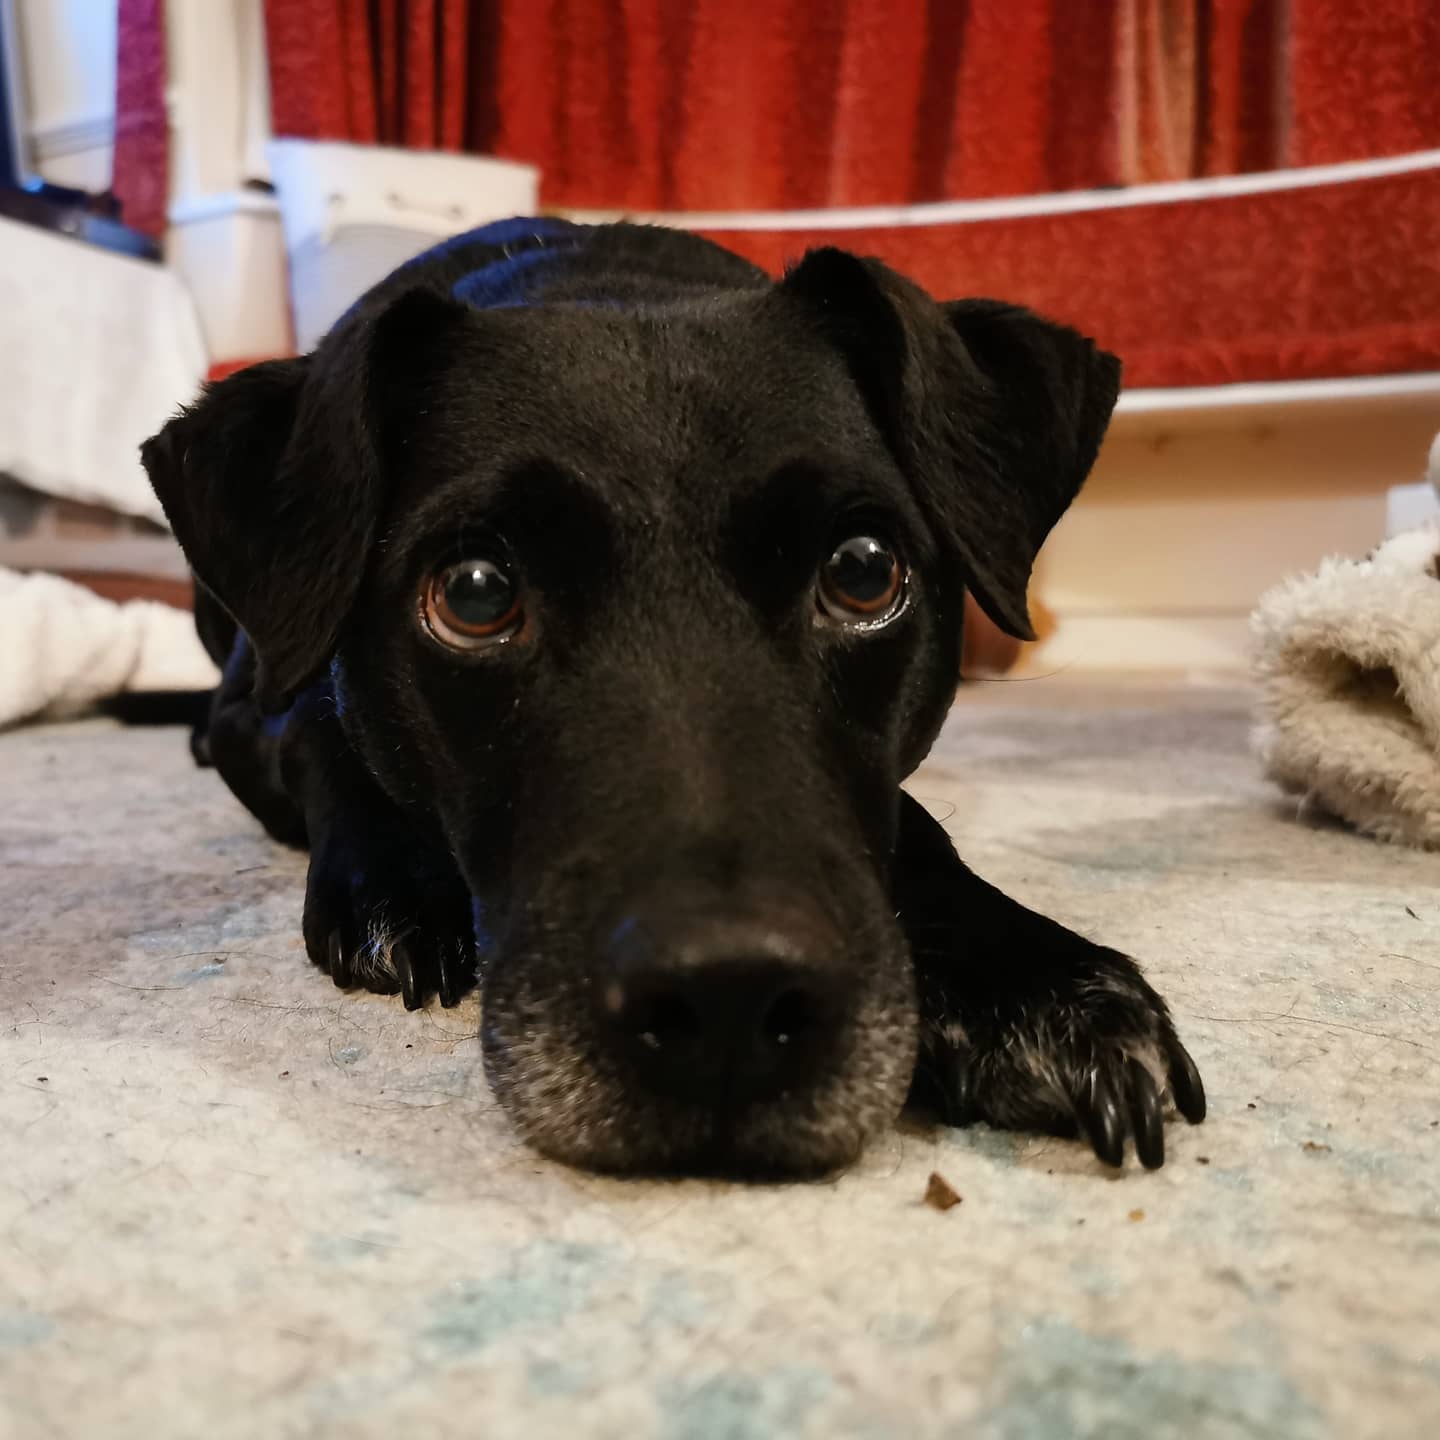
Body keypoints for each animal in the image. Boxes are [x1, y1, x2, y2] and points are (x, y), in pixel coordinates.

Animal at [146, 216, 1203, 1180]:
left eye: (864, 572)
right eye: (474, 594)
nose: (728, 1003)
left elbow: (915, 822)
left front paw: (1023, 974)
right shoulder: (268, 701)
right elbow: (329, 743)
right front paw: (394, 879)